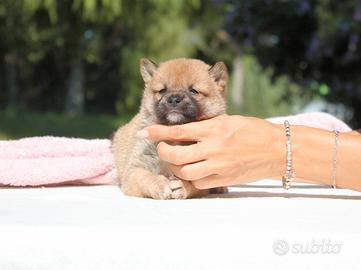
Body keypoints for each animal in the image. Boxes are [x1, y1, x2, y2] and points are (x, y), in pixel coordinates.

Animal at [112, 58, 228, 199]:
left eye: (193, 91)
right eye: (162, 90)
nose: (174, 99)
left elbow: (194, 184)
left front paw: (182, 186)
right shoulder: (135, 169)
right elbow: (145, 176)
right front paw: (159, 184)